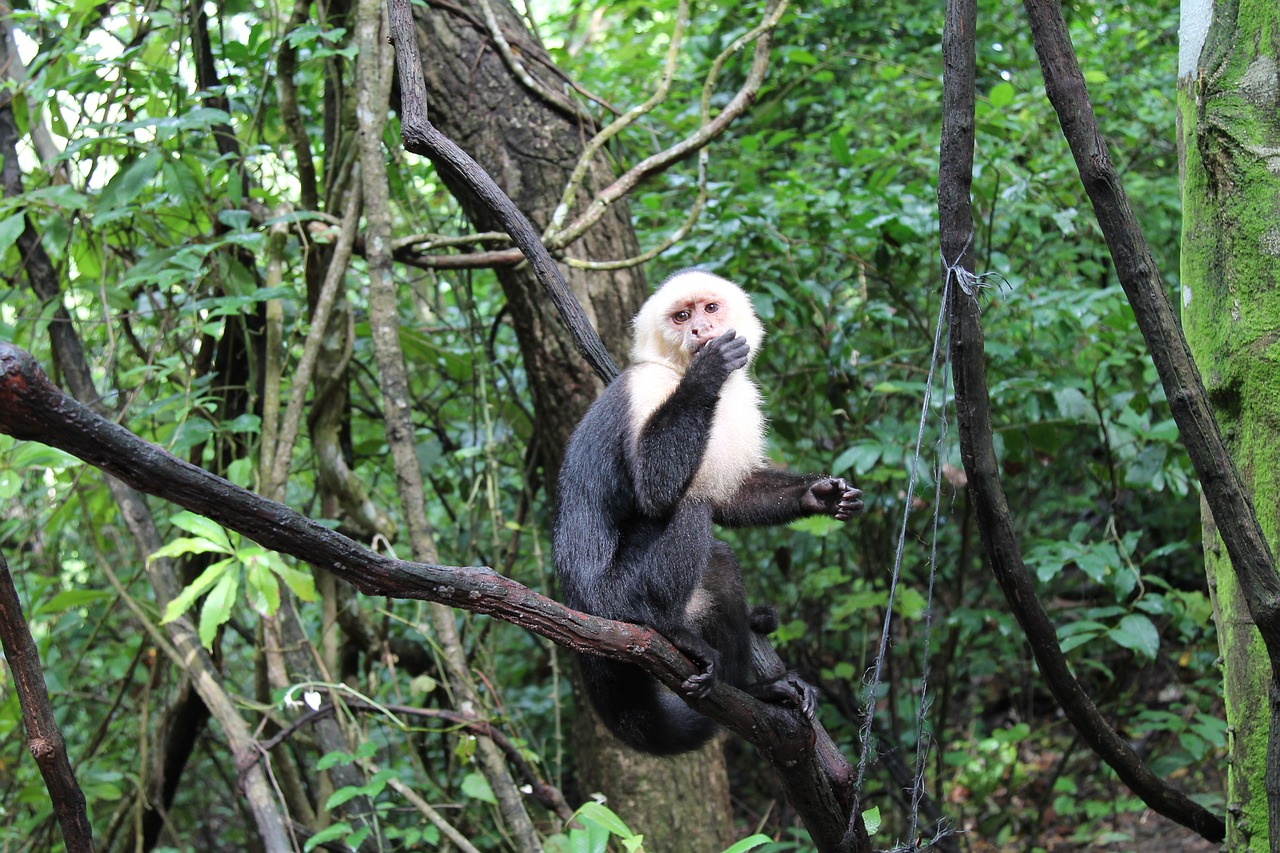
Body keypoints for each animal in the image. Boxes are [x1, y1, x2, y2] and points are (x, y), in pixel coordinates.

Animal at [550, 268, 860, 753]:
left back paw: (754, 690)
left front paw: (819, 496)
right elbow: (657, 488)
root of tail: (576, 602)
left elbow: (730, 498)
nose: (701, 330)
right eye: (682, 316)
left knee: (721, 566)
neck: (674, 369)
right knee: (688, 508)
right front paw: (707, 372)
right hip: (611, 599)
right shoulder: (647, 386)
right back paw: (665, 628)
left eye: (710, 308)